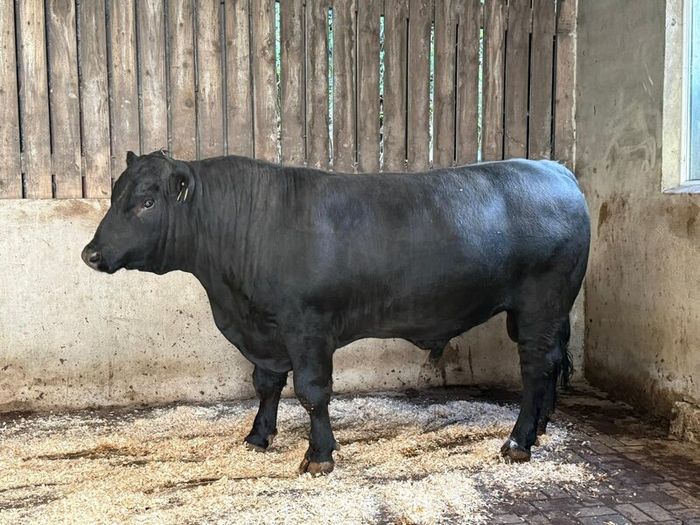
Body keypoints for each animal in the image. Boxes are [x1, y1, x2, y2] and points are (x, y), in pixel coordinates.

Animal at [82, 151, 590, 475]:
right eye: (114, 195)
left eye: (147, 202)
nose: (90, 253)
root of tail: (554, 169)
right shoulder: (266, 333)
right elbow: (267, 384)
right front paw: (258, 437)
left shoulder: (307, 328)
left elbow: (311, 392)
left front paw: (318, 456)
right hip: (535, 314)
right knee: (547, 366)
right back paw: (540, 429)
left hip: (541, 306)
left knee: (534, 368)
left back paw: (518, 442)